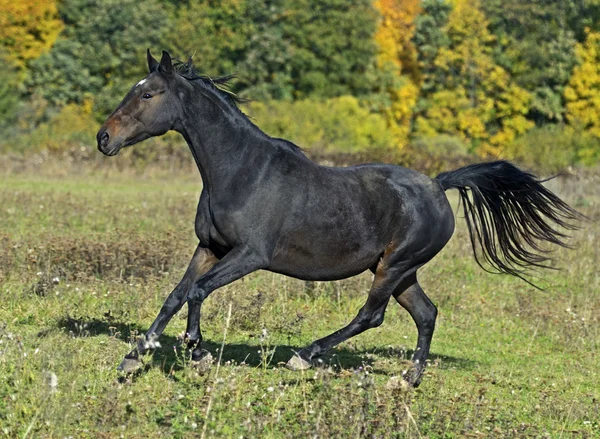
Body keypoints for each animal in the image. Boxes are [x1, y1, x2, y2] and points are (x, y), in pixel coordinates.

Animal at [95, 50, 580, 388]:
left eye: (148, 93)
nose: (103, 138)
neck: (241, 170)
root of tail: (438, 185)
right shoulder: (210, 247)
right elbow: (175, 295)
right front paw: (135, 356)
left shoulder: (250, 254)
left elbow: (197, 292)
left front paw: (196, 353)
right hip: (400, 271)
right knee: (426, 314)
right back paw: (408, 380)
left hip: (394, 267)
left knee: (371, 316)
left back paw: (305, 356)